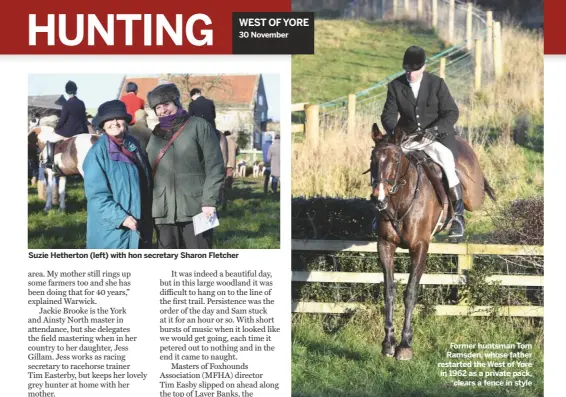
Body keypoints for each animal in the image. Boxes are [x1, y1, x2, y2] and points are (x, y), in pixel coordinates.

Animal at [368, 124, 496, 358]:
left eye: (396, 159)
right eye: (373, 159)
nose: (378, 198)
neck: (400, 201)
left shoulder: (420, 247)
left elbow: (410, 293)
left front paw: (405, 345)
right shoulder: (385, 245)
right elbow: (389, 291)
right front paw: (388, 342)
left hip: (474, 196)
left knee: (471, 192)